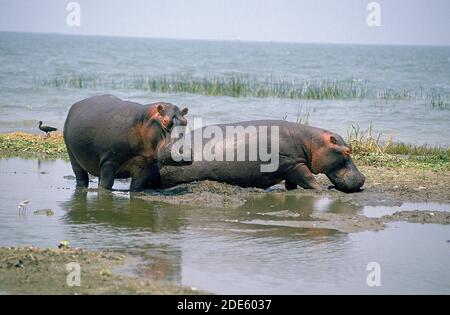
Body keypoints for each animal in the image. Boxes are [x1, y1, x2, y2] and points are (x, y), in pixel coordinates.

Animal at [158, 120, 366, 193]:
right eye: (347, 151)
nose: (363, 178)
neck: (312, 142)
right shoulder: (295, 164)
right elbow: (309, 179)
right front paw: (322, 189)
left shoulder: (292, 168)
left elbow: (292, 183)